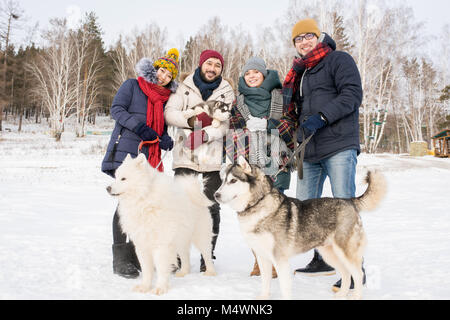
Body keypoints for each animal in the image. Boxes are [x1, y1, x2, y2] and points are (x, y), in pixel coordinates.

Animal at [107, 154, 216, 296]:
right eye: (115, 177)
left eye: (123, 179)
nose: (108, 188)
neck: (144, 200)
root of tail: (194, 192)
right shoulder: (142, 244)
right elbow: (146, 270)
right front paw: (144, 287)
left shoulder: (161, 245)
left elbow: (161, 268)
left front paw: (160, 288)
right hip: (180, 238)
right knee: (185, 256)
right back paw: (183, 272)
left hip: (200, 236)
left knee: (207, 254)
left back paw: (210, 272)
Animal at [214, 158, 386, 300]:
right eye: (222, 181)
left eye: (233, 181)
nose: (216, 195)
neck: (258, 203)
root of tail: (349, 201)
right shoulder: (262, 256)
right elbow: (265, 281)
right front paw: (263, 297)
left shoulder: (280, 258)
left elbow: (284, 286)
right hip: (329, 253)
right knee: (345, 273)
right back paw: (341, 295)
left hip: (345, 252)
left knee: (358, 274)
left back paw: (355, 295)